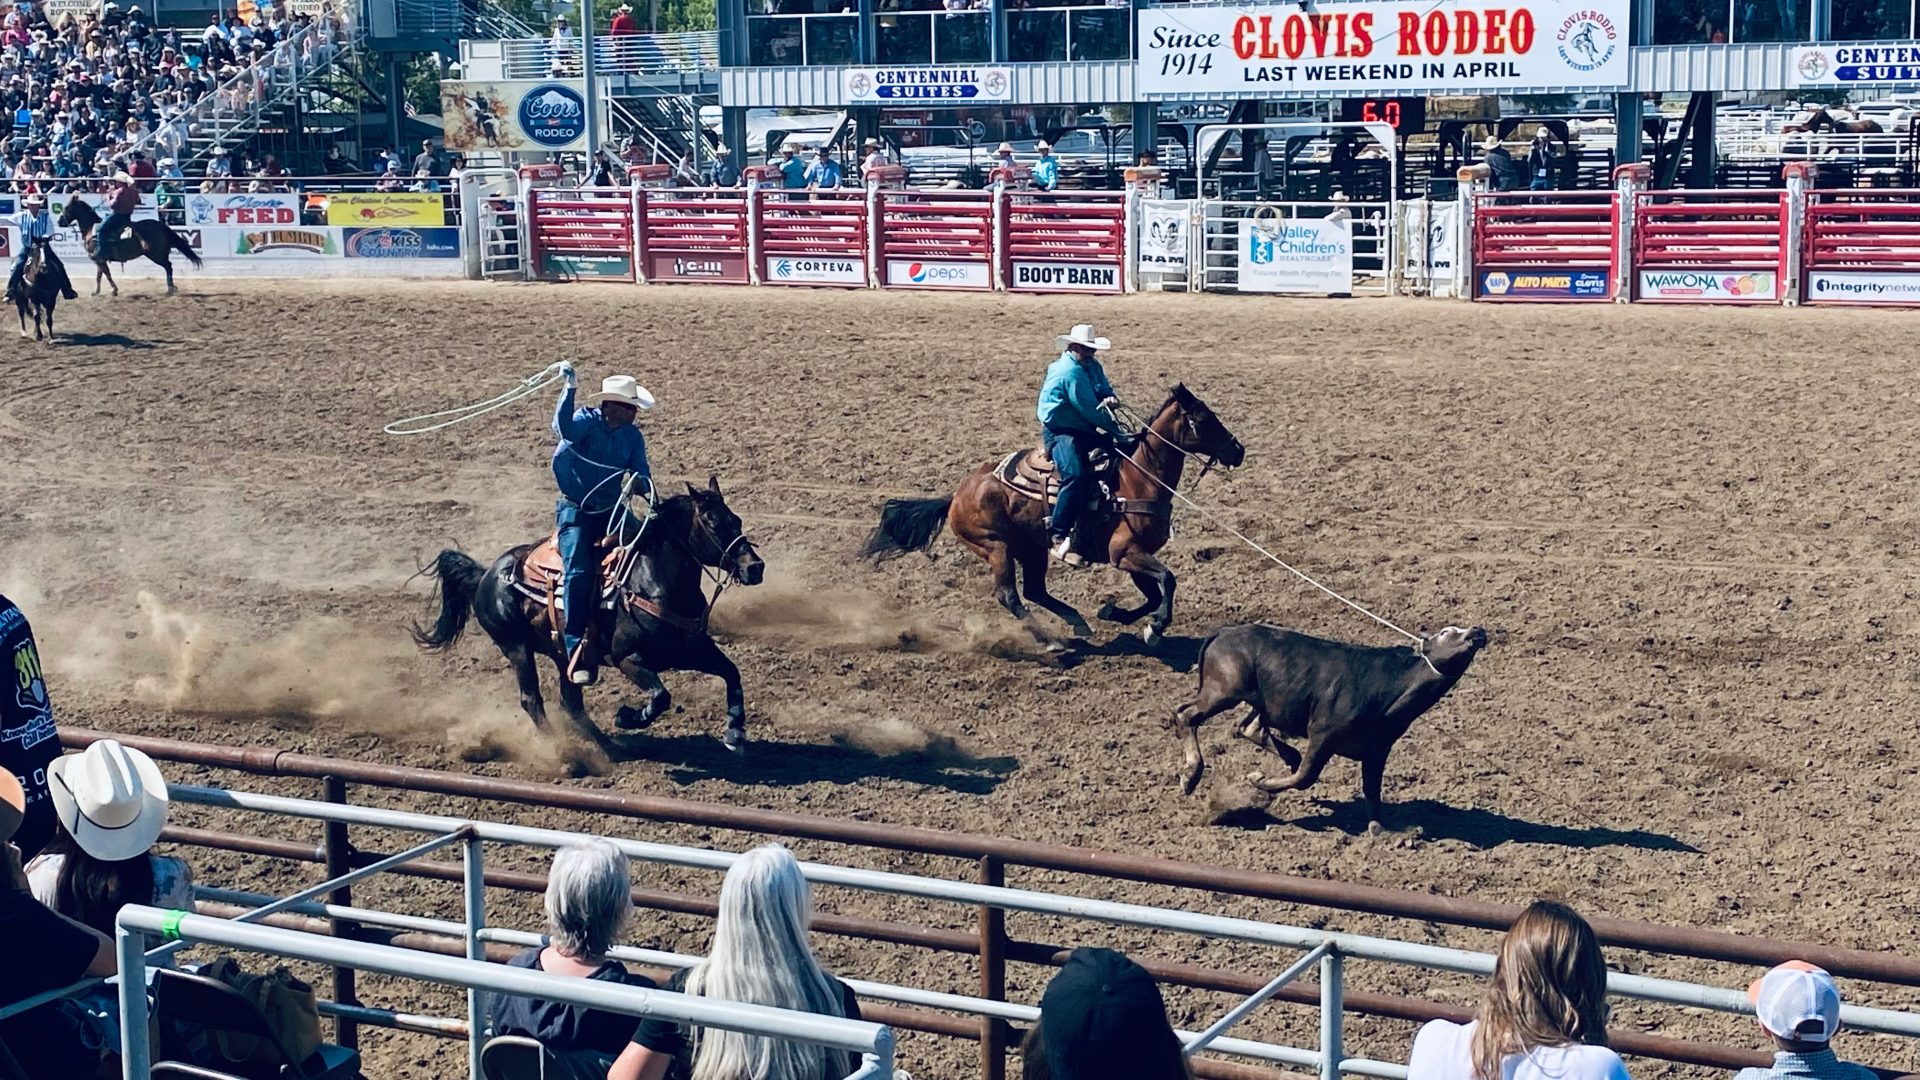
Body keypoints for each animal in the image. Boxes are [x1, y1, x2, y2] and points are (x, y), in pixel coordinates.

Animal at [56, 197, 202, 294]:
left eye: (66, 208)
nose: (59, 221)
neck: (91, 230)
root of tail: (162, 226)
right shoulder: (99, 260)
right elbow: (100, 275)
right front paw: (97, 292)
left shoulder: (99, 259)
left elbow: (106, 274)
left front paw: (113, 290)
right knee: (168, 266)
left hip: (156, 255)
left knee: (168, 266)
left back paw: (171, 288)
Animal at [418, 478, 764, 749]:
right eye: (714, 524)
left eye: (737, 520)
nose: (755, 567)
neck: (654, 582)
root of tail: (486, 574)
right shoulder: (628, 658)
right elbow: (660, 696)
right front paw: (627, 716)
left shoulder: (693, 649)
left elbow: (732, 673)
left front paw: (735, 735)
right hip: (516, 648)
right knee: (532, 699)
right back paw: (566, 752)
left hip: (564, 656)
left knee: (570, 701)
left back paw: (606, 746)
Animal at [860, 384, 1244, 638]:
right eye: (1203, 419)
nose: (1238, 451)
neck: (1138, 477)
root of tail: (957, 494)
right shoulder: (1125, 552)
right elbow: (1168, 579)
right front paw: (1155, 627)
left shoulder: (1133, 555)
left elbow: (1153, 594)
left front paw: (1115, 613)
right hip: (994, 546)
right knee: (1009, 595)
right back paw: (1046, 640)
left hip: (1031, 547)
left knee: (1034, 591)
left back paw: (1078, 623)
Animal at [1167, 618, 1482, 818]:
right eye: (1447, 631)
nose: (1477, 631)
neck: (1390, 686)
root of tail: (1223, 632)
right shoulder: (1323, 734)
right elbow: (1305, 777)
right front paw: (1260, 781)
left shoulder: (1378, 750)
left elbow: (1372, 791)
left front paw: (1379, 830)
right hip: (1224, 690)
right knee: (1187, 715)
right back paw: (1191, 775)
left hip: (1261, 700)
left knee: (1250, 727)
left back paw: (1287, 756)